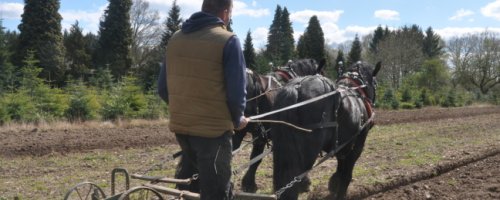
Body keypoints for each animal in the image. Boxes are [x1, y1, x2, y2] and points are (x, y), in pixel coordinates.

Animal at [272, 61, 380, 199]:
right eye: (375, 83)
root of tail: (296, 88)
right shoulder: (356, 147)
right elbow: (346, 176)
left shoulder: (342, 147)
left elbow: (340, 168)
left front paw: (334, 183)